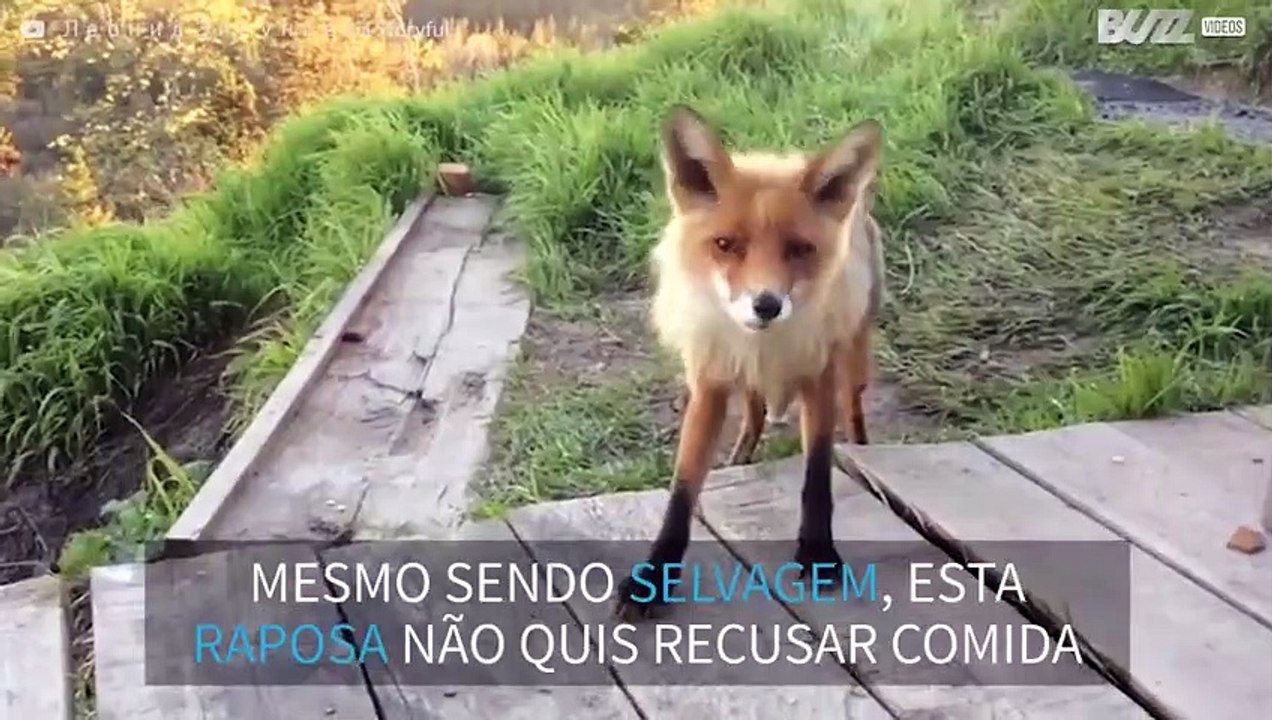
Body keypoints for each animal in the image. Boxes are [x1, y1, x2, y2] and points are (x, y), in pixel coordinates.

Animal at [614, 104, 886, 619]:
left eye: (799, 249)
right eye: (725, 245)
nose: (766, 305)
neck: (767, 345)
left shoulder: (817, 376)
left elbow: (816, 478)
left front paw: (818, 554)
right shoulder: (709, 383)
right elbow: (682, 490)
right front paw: (655, 577)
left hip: (853, 361)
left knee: (855, 407)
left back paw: (863, 449)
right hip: (740, 380)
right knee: (755, 414)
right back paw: (738, 457)